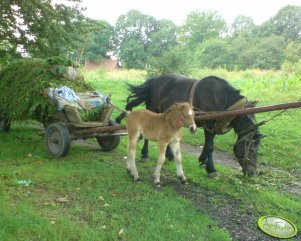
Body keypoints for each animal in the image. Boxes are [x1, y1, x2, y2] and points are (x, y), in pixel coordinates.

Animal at [116, 74, 262, 176]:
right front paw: (211, 169)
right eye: (251, 149)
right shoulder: (209, 124)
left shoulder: (211, 127)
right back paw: (145, 154)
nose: (253, 173)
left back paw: (169, 155)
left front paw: (202, 161)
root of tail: (154, 80)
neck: (221, 99)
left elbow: (208, 145)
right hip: (153, 110)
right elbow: (210, 146)